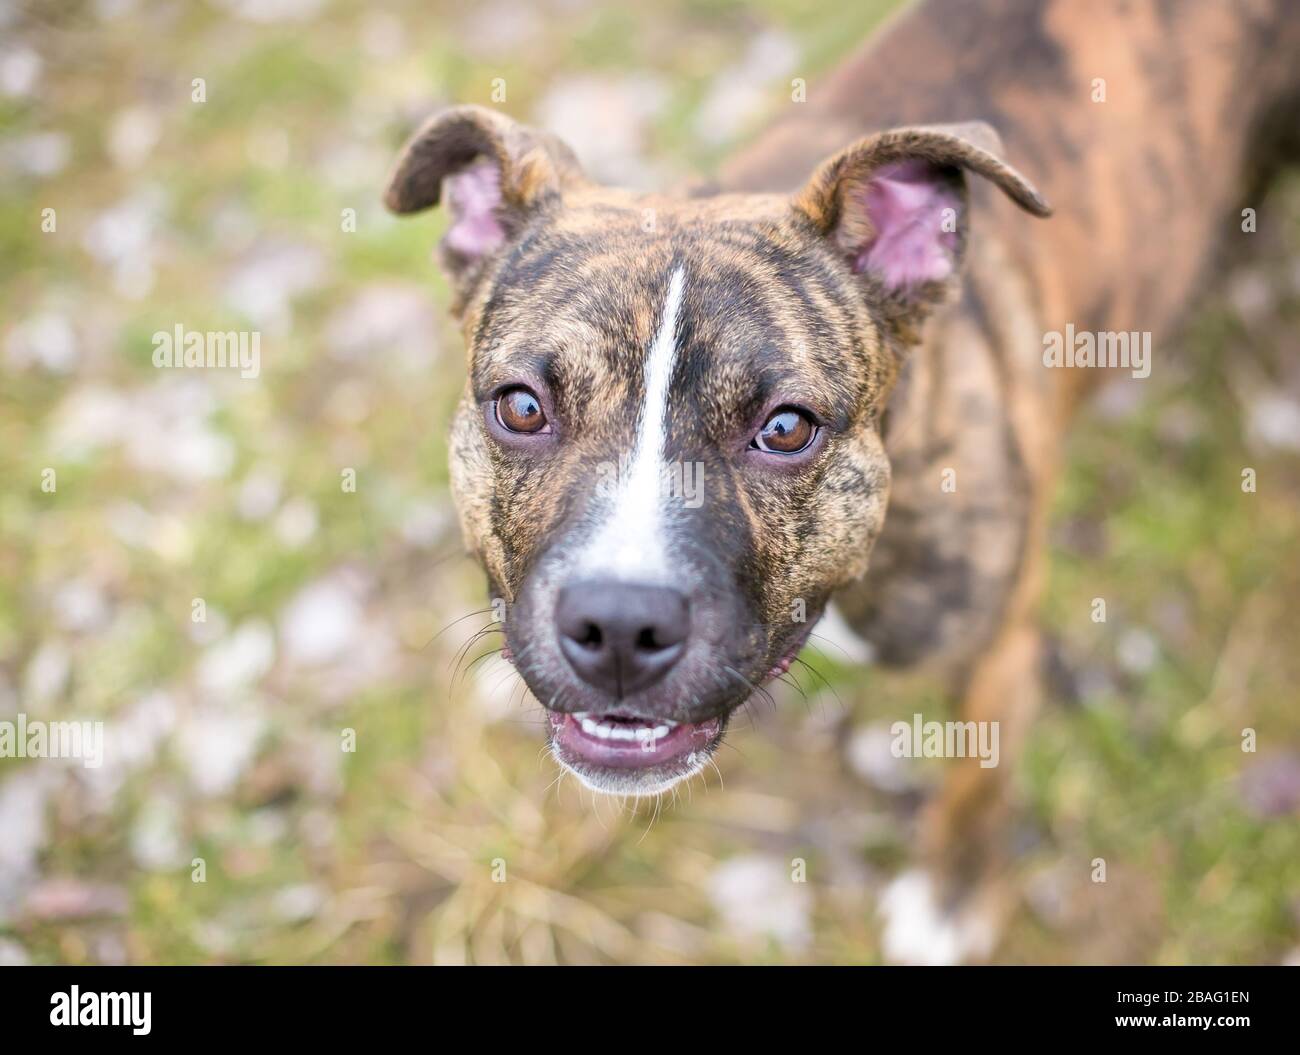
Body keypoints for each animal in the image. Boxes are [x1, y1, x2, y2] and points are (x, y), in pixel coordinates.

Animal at [384, 0, 1300, 961]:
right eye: (521, 408)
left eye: (787, 428)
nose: (621, 624)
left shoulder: (997, 648)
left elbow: (977, 777)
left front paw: (951, 899)